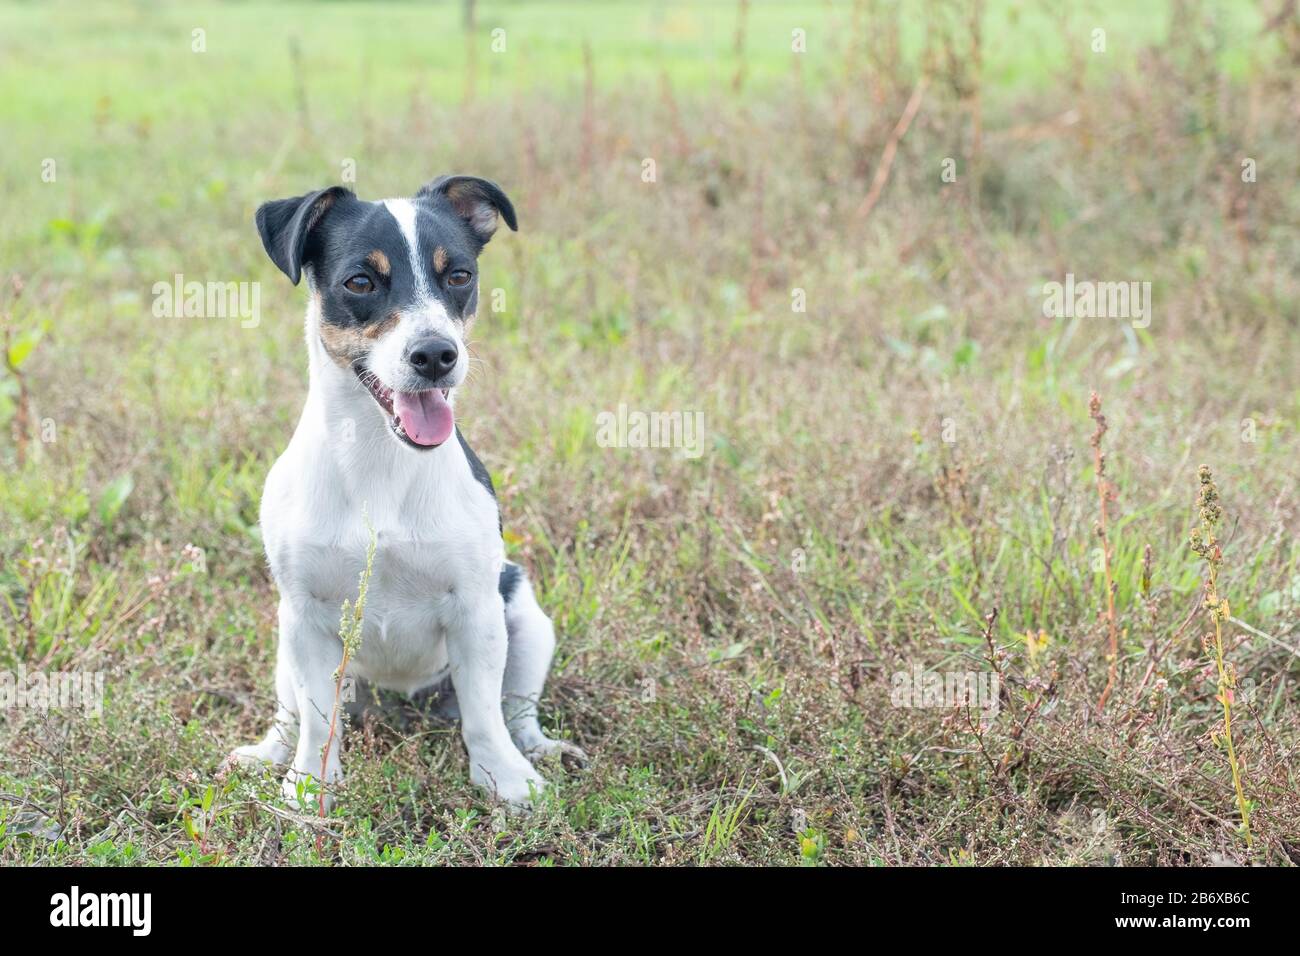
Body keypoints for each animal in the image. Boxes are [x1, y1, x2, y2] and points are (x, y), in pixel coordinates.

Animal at [231, 174, 582, 806]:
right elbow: (316, 721)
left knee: (514, 711)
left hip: (525, 621)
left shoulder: (475, 610)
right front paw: (308, 787)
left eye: (459, 276)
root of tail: (400, 704)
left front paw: (506, 781)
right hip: (285, 643)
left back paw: (540, 749)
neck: (382, 459)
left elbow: (485, 717)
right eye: (361, 281)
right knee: (291, 714)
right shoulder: (306, 616)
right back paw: (268, 752)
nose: (437, 354)